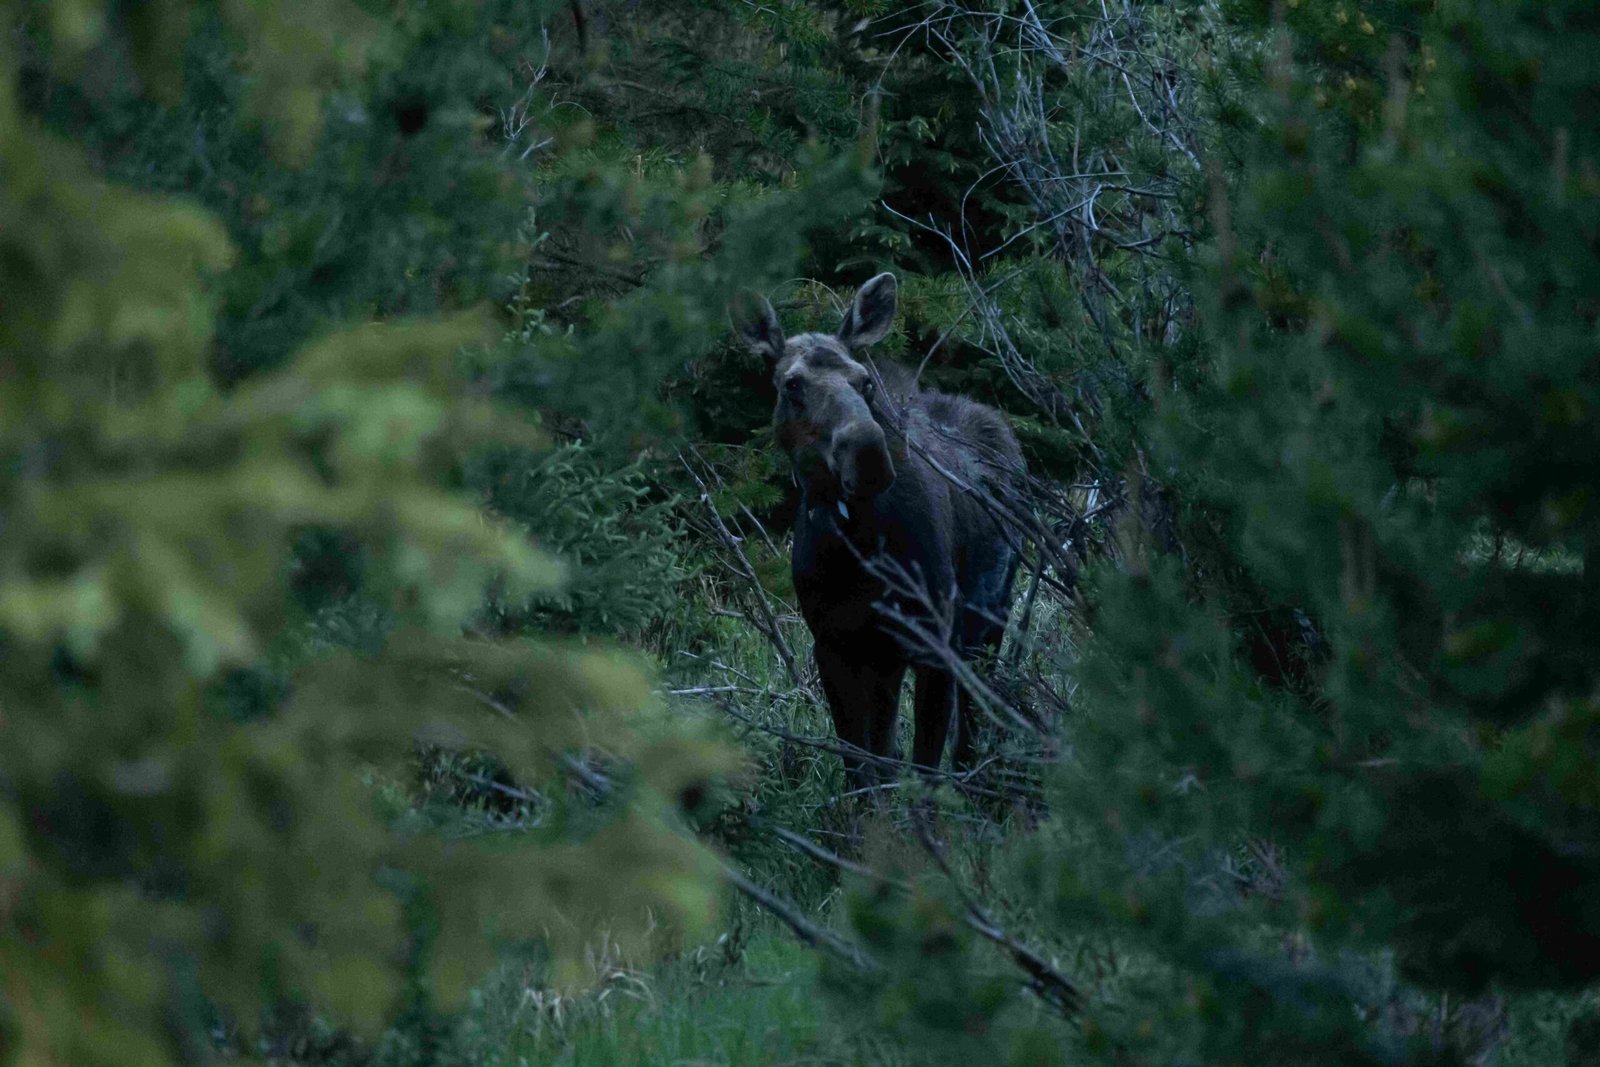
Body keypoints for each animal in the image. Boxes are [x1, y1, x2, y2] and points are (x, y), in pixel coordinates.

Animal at [736, 275, 1024, 790]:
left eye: (865, 381)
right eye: (792, 384)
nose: (867, 452)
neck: (860, 547)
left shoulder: (935, 639)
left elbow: (925, 771)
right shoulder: (835, 645)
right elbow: (864, 773)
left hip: (989, 615)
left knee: (972, 728)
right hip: (889, 654)